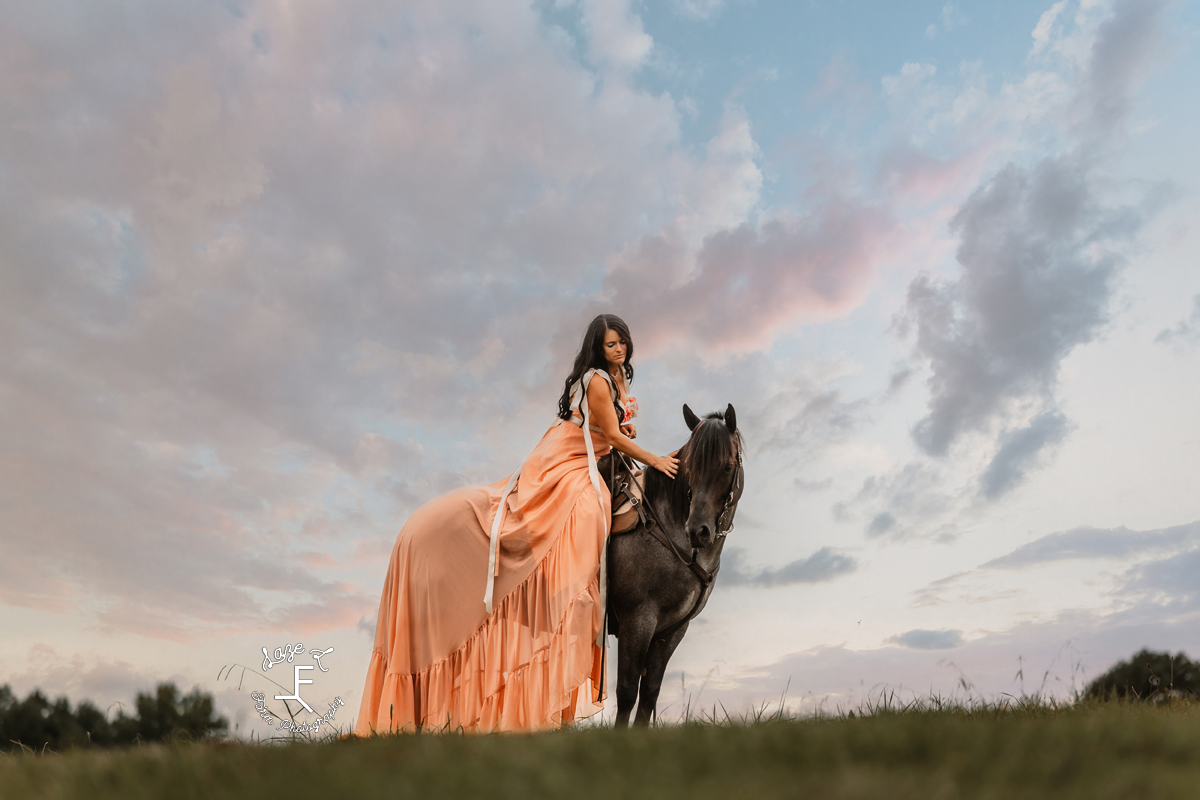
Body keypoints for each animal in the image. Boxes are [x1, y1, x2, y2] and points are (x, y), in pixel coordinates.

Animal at [597, 402, 739, 729]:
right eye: (689, 468)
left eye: (727, 466)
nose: (698, 531)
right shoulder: (637, 621)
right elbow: (627, 691)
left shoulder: (672, 630)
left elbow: (649, 692)